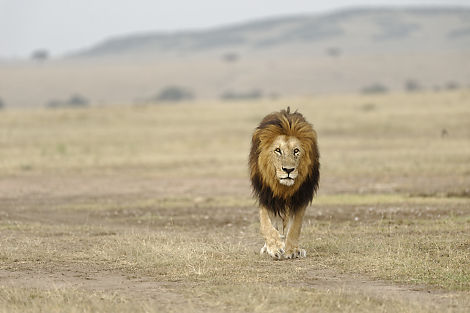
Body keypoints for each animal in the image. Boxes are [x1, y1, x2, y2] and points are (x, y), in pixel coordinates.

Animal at [250, 107, 320, 258]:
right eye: (278, 150)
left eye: (296, 151)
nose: (288, 170)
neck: (283, 187)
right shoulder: (266, 194)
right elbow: (266, 222)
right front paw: (275, 246)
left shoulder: (301, 196)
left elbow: (295, 226)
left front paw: (292, 250)